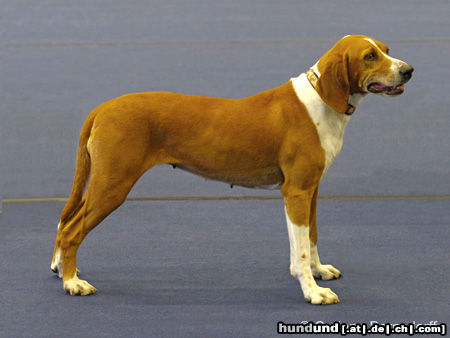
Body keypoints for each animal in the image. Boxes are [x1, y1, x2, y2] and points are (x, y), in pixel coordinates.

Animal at [51, 35, 414, 304]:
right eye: (370, 56)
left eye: (387, 50)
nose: (409, 70)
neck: (321, 100)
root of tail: (102, 108)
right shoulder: (295, 191)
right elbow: (299, 251)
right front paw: (313, 291)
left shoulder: (311, 189)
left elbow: (311, 237)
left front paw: (320, 270)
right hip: (113, 184)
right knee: (71, 230)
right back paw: (72, 283)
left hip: (104, 183)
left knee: (66, 221)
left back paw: (62, 269)